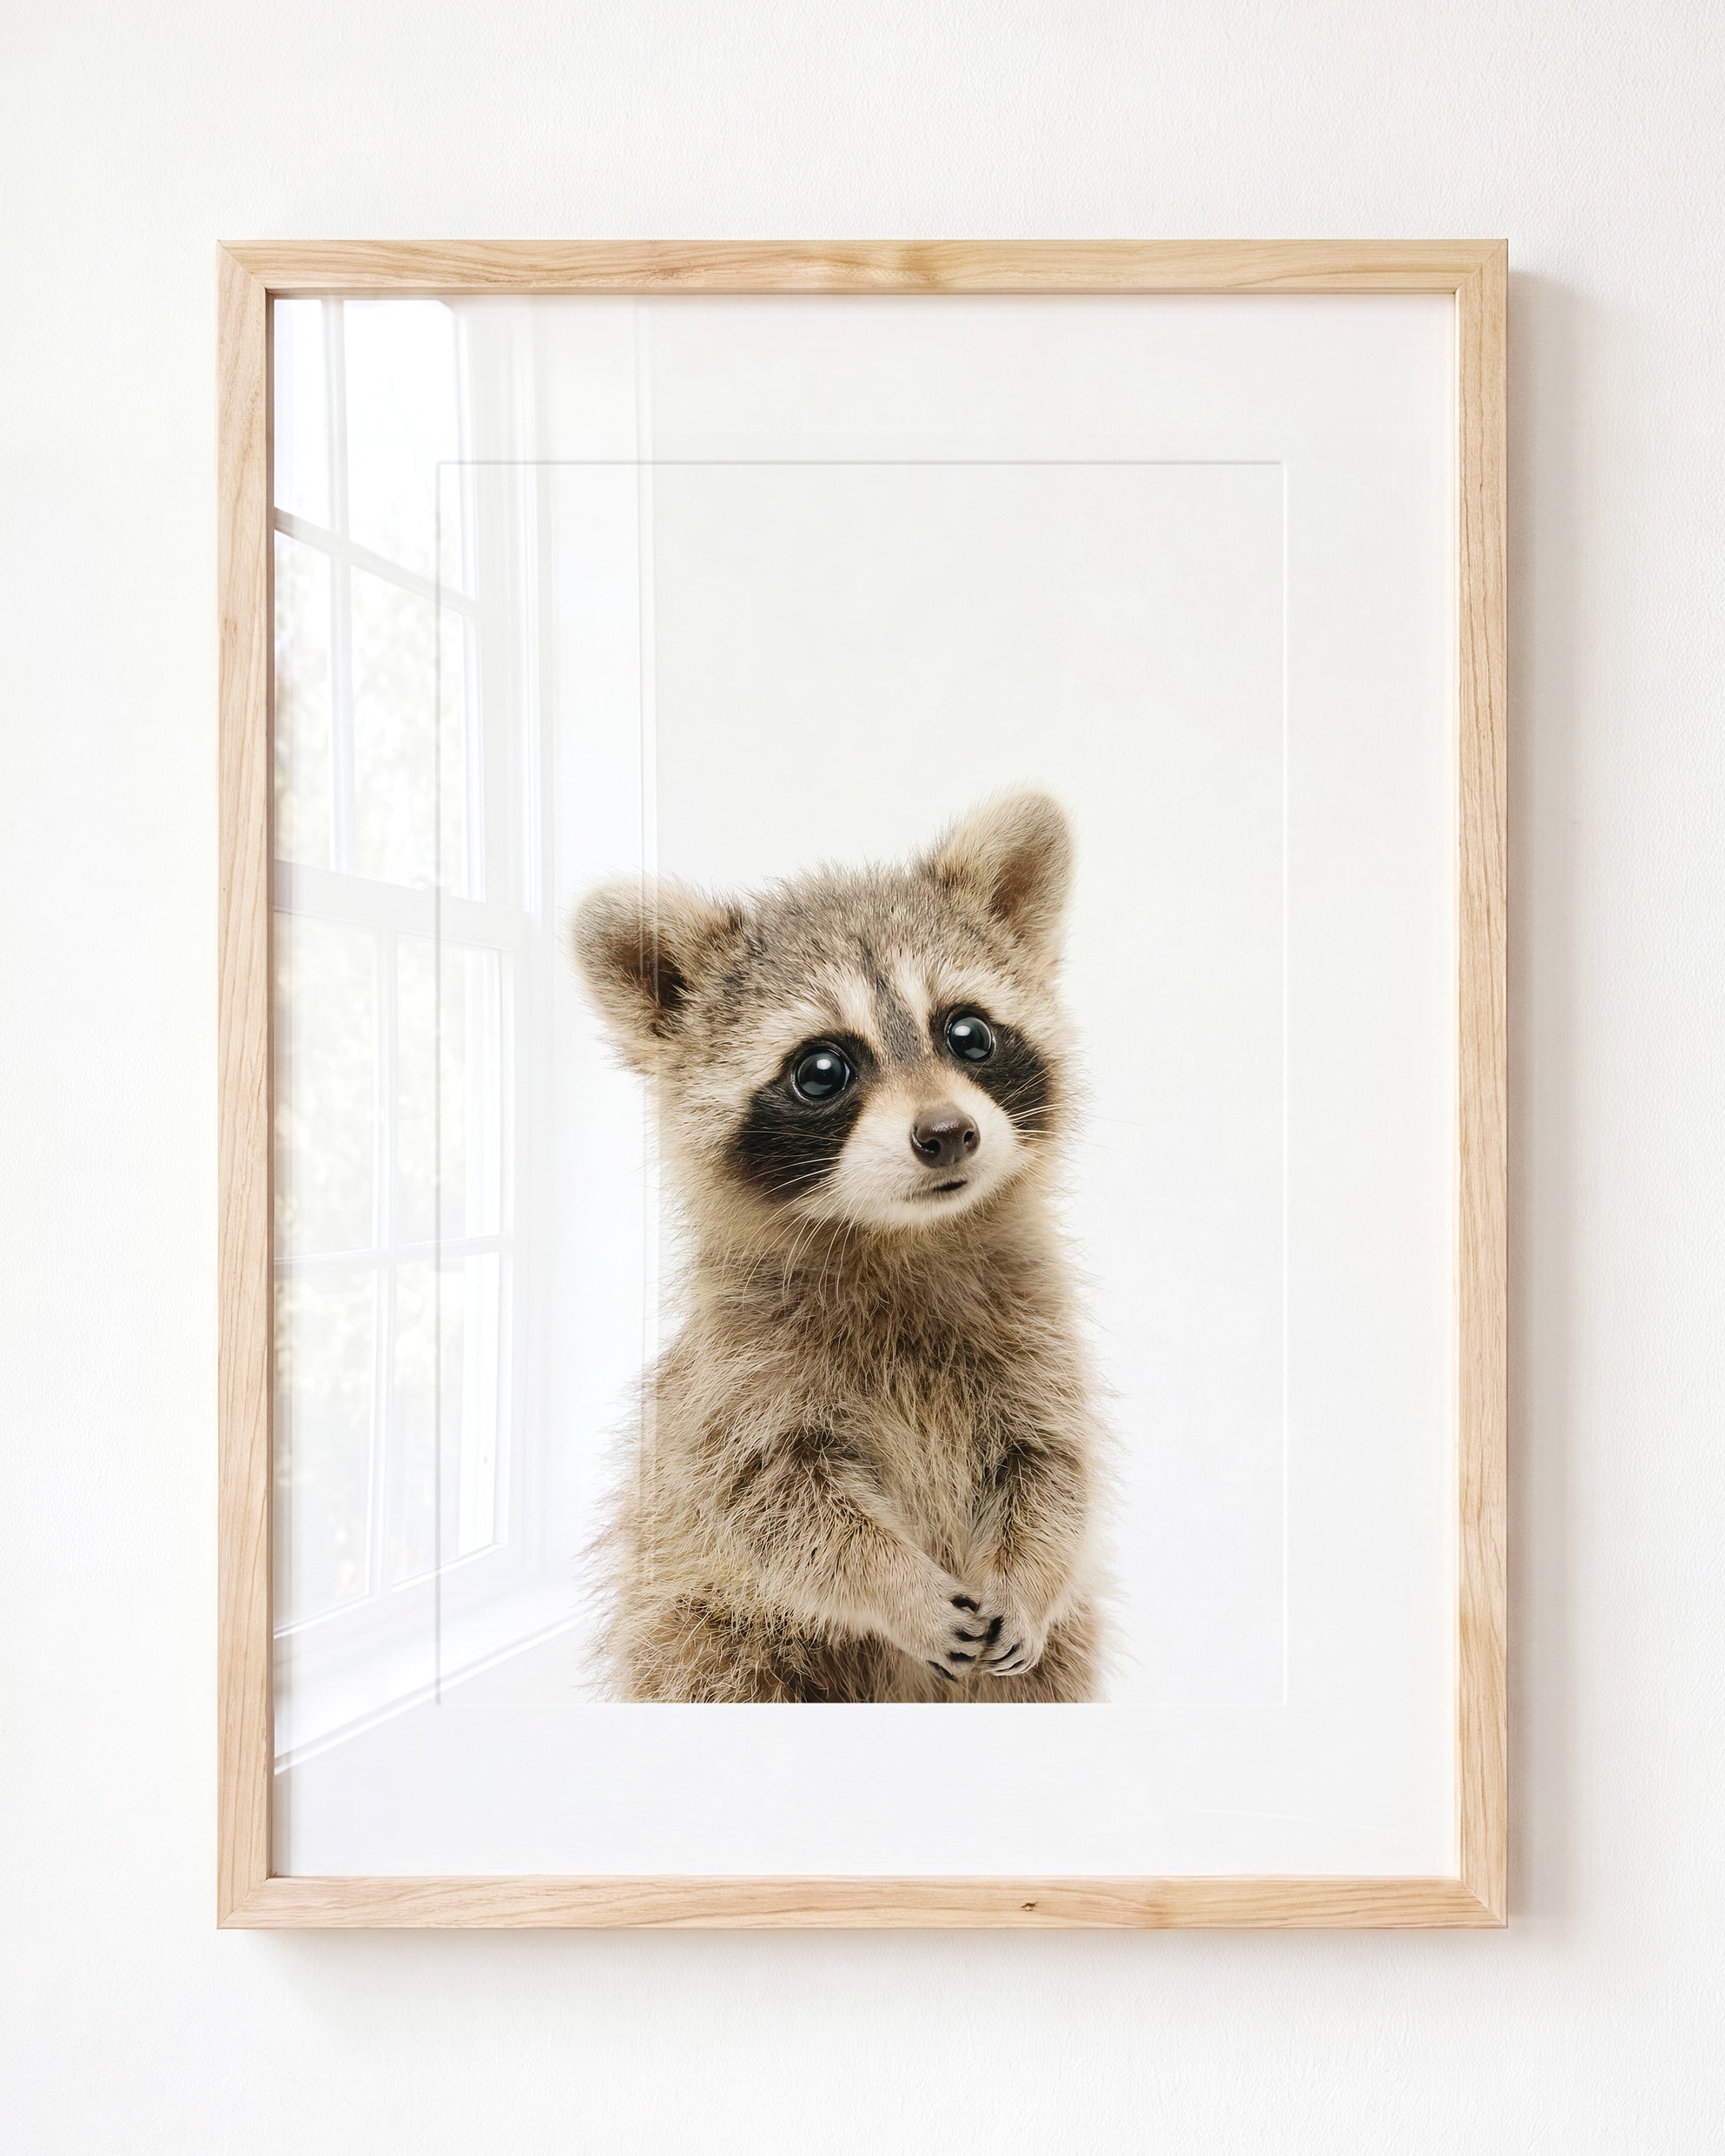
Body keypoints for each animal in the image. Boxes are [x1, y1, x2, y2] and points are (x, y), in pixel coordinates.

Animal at [571, 790, 1106, 1703]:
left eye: (968, 1034)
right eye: (822, 1070)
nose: (947, 1134)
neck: (902, 1238)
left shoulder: (1037, 1337)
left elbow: (1054, 1468)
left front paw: (1029, 1577)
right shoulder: (736, 1380)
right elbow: (774, 1507)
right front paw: (896, 1586)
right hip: (704, 1632)